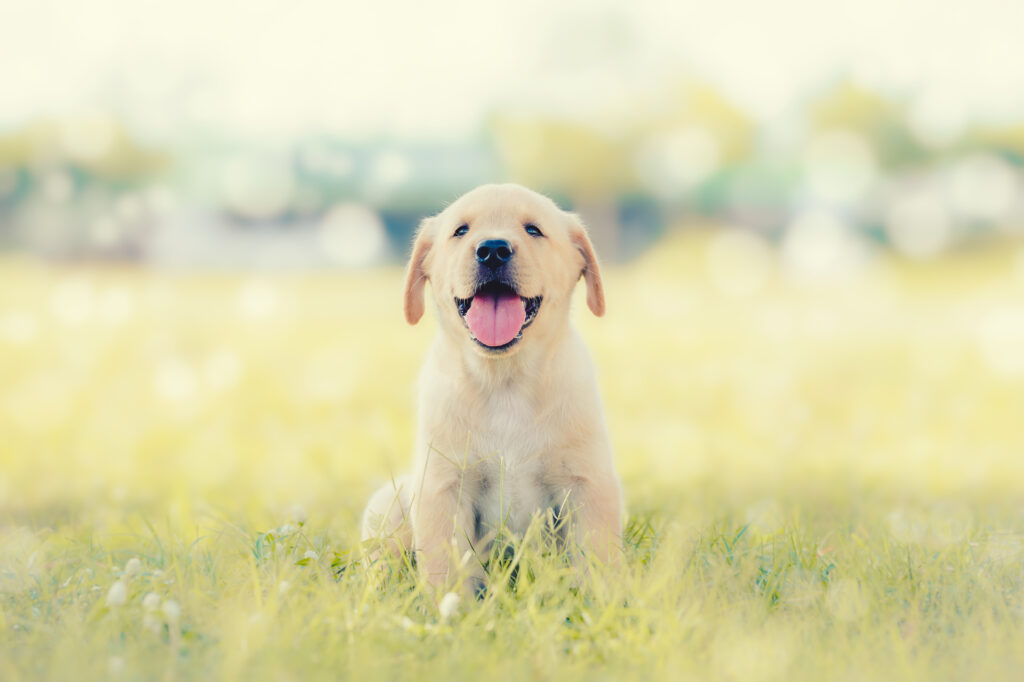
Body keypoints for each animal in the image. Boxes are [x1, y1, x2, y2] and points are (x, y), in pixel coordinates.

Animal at [362, 182, 622, 589]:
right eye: (461, 231)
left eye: (533, 230)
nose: (493, 249)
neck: (505, 385)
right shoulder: (443, 486)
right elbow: (445, 571)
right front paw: (449, 607)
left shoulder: (587, 481)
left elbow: (597, 561)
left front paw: (602, 602)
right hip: (388, 501)